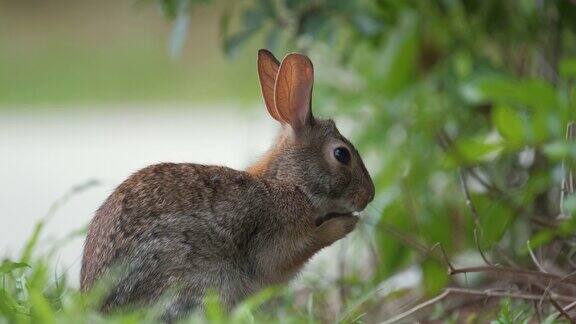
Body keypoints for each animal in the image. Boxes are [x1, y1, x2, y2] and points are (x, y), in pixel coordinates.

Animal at [81, 50, 376, 322]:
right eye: (341, 155)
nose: (369, 196)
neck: (288, 183)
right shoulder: (276, 240)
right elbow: (301, 247)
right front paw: (345, 224)